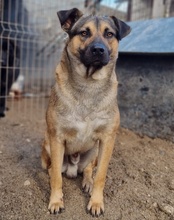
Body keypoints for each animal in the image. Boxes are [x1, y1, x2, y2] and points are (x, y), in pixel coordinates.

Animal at [41, 7, 130, 217]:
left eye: (109, 34)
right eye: (84, 33)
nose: (98, 49)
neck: (88, 85)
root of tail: (73, 167)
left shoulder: (107, 139)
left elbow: (101, 176)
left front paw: (96, 202)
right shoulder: (56, 138)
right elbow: (56, 177)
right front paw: (55, 201)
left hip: (94, 151)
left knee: (89, 170)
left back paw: (87, 182)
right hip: (47, 144)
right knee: (52, 170)